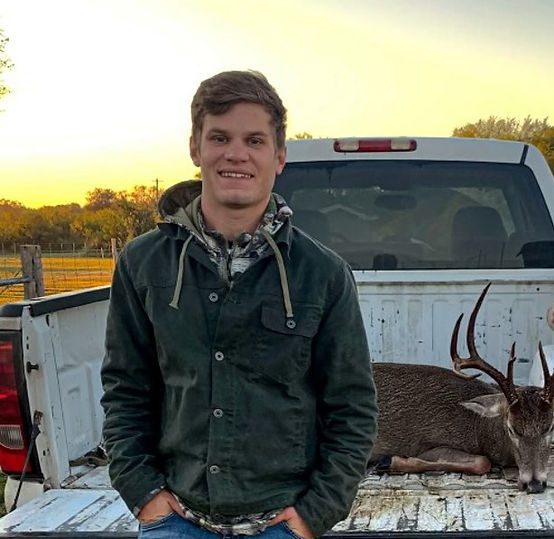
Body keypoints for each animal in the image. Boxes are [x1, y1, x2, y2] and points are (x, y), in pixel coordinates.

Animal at [366, 284, 552, 496]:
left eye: (549, 427)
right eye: (512, 429)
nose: (535, 484)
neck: (480, 428)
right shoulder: (430, 445)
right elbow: (482, 462)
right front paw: (390, 461)